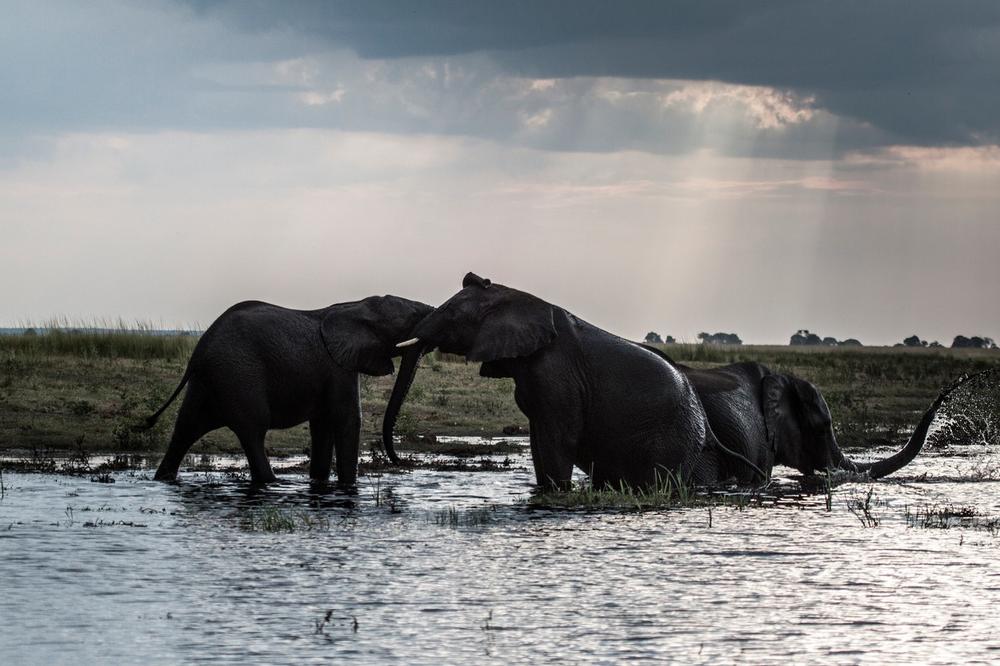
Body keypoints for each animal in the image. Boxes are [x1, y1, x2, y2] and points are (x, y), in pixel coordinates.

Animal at [146, 296, 434, 482]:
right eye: (412, 319)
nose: (399, 462)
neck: (357, 305)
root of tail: (199, 350)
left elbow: (323, 426)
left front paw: (318, 483)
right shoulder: (338, 367)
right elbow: (348, 419)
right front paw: (348, 487)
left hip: (209, 381)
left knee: (185, 429)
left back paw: (163, 479)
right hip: (238, 375)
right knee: (252, 432)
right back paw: (272, 483)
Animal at [382, 270, 756, 488]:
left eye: (450, 314)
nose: (402, 463)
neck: (515, 296)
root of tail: (703, 419)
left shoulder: (556, 374)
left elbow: (557, 438)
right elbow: (538, 439)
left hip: (672, 436)